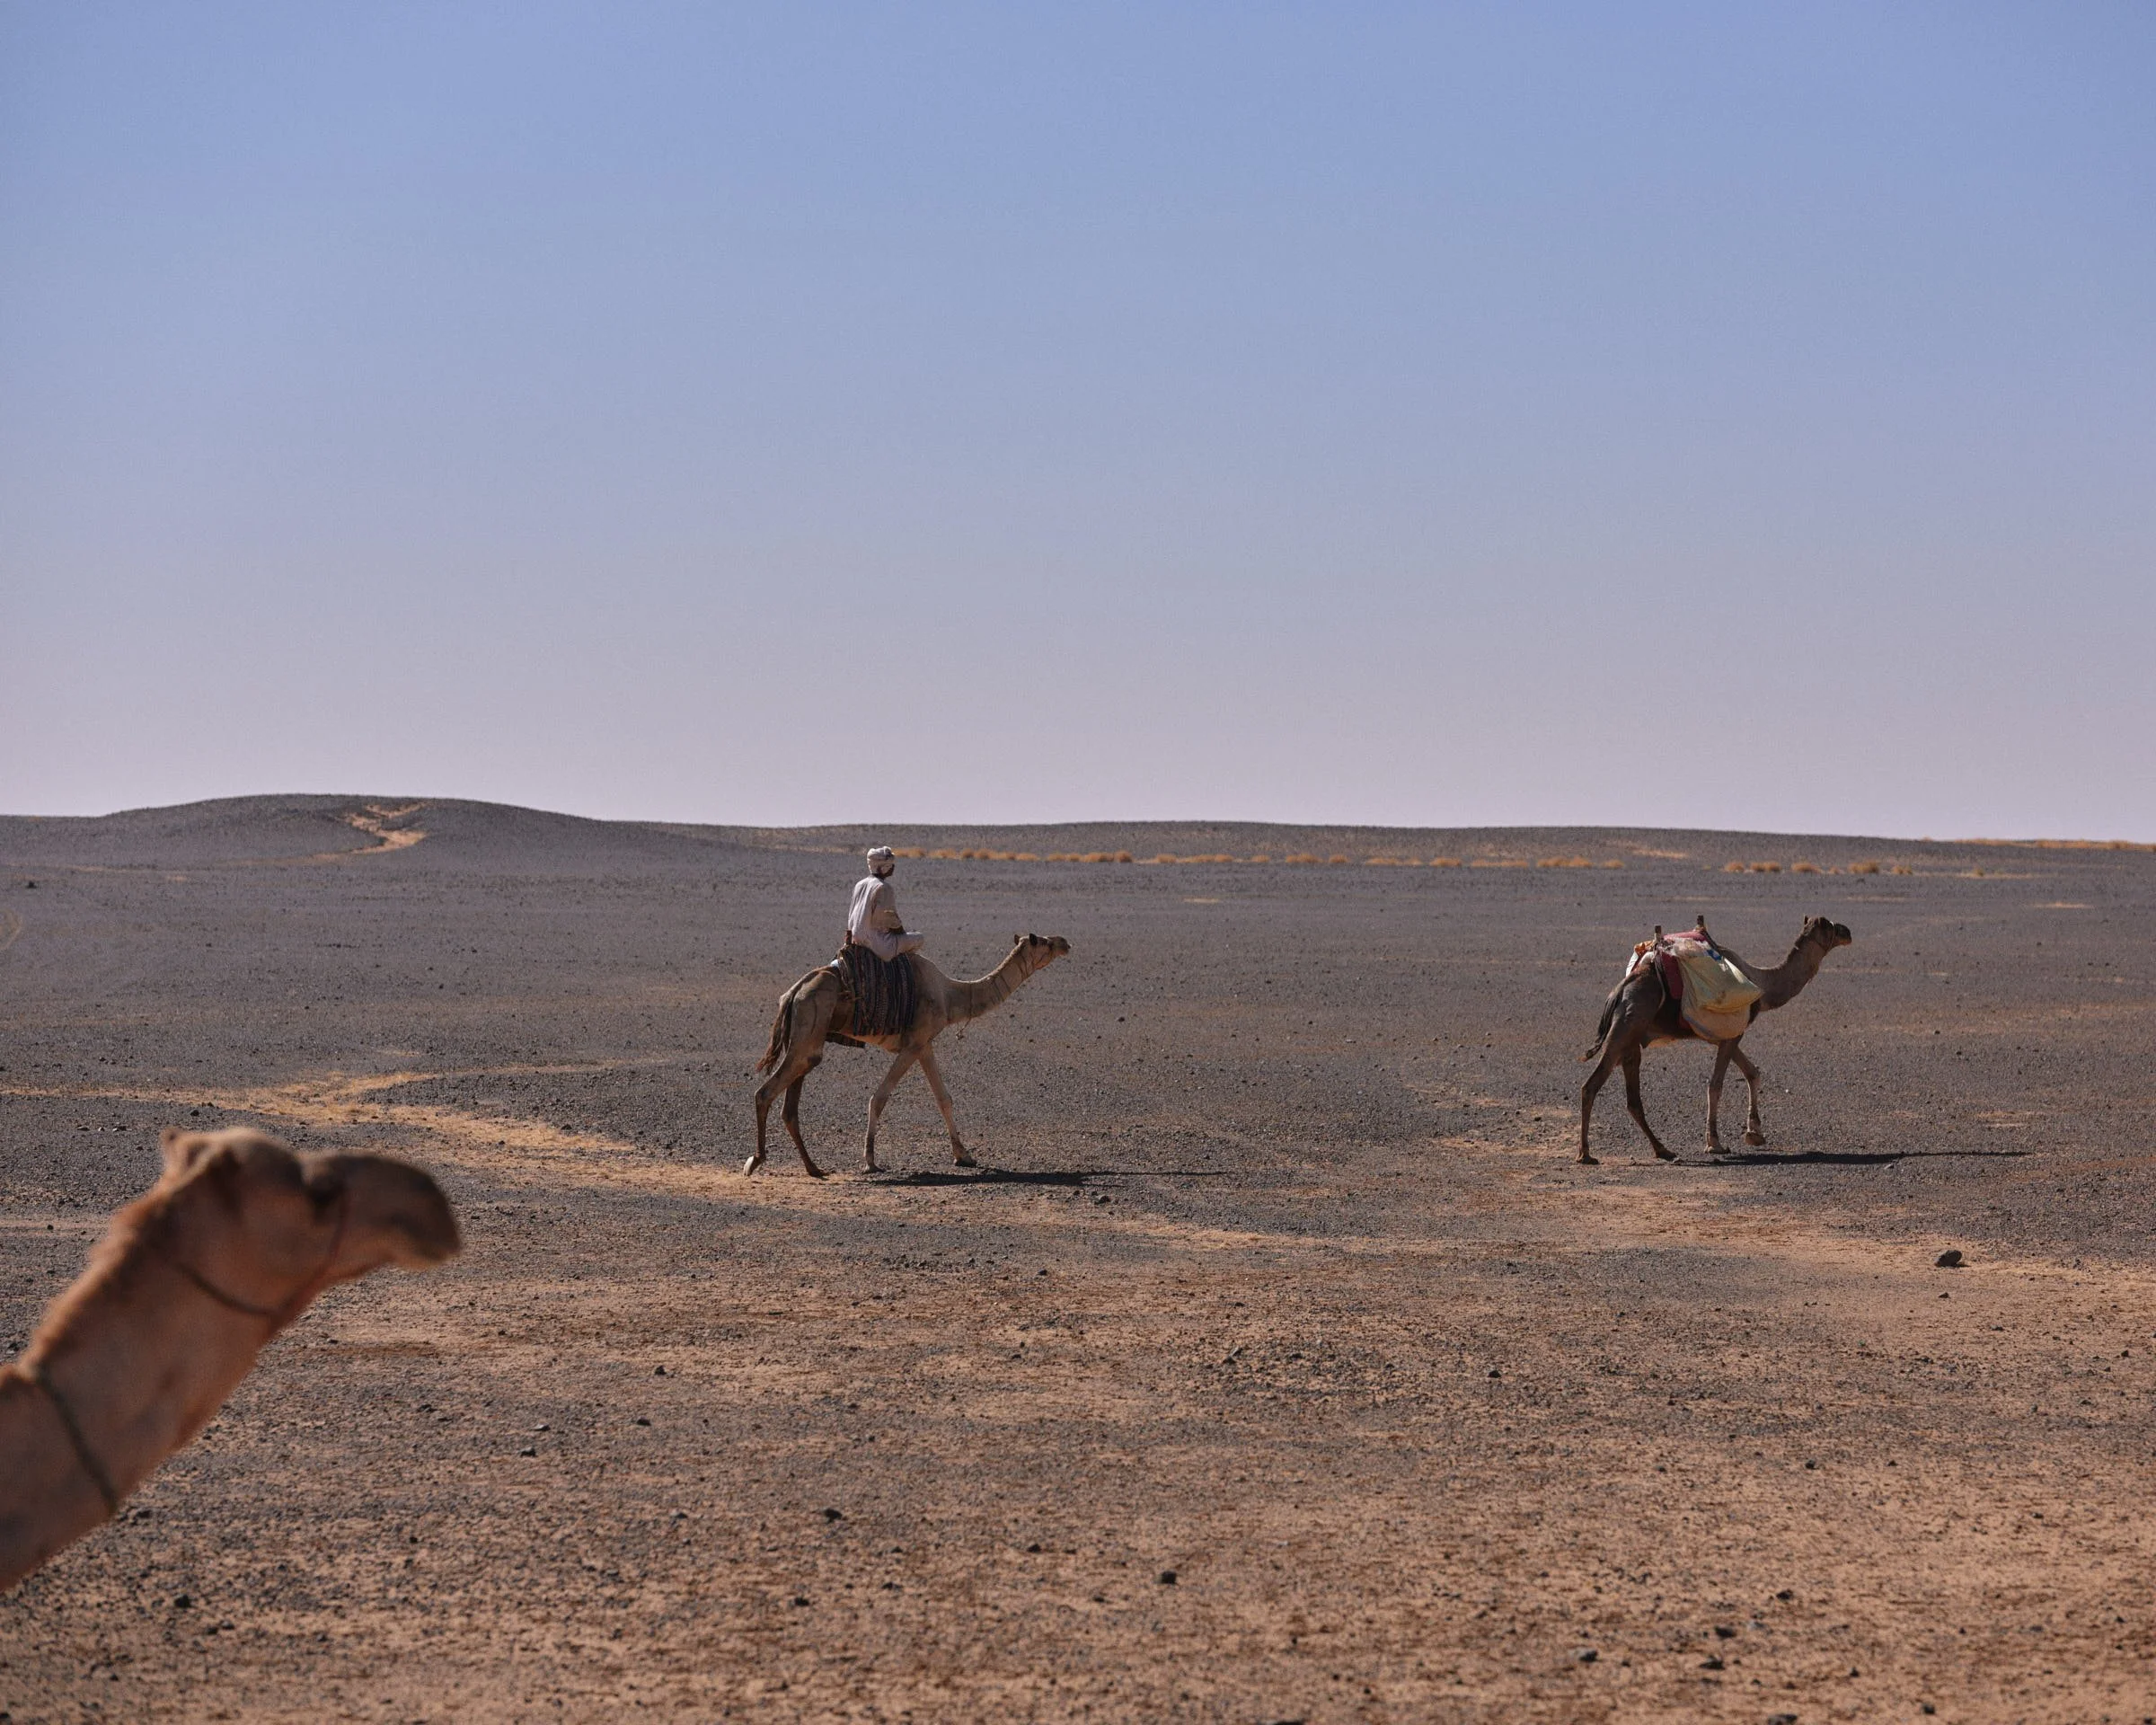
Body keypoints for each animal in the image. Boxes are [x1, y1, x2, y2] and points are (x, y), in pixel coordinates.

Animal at [751, 933, 1072, 1177]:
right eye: (1043, 942)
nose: (1065, 942)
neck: (950, 995)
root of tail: (794, 992)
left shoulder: (925, 1044)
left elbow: (944, 1099)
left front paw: (964, 1156)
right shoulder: (913, 1044)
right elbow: (879, 1097)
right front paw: (870, 1161)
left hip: (806, 1037)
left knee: (790, 1103)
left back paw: (813, 1168)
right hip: (809, 1028)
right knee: (766, 1091)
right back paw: (757, 1161)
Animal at [1578, 915, 1853, 1164]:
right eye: (1828, 925)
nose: (1847, 931)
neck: (1762, 986)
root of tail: (1619, 992)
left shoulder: (1726, 1036)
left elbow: (1752, 1072)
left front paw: (1755, 1133)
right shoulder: (1732, 1032)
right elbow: (1716, 1084)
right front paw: (1715, 1143)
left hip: (1632, 1039)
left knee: (1633, 1100)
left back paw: (1664, 1151)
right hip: (1626, 1026)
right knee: (1591, 1085)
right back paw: (1586, 1154)